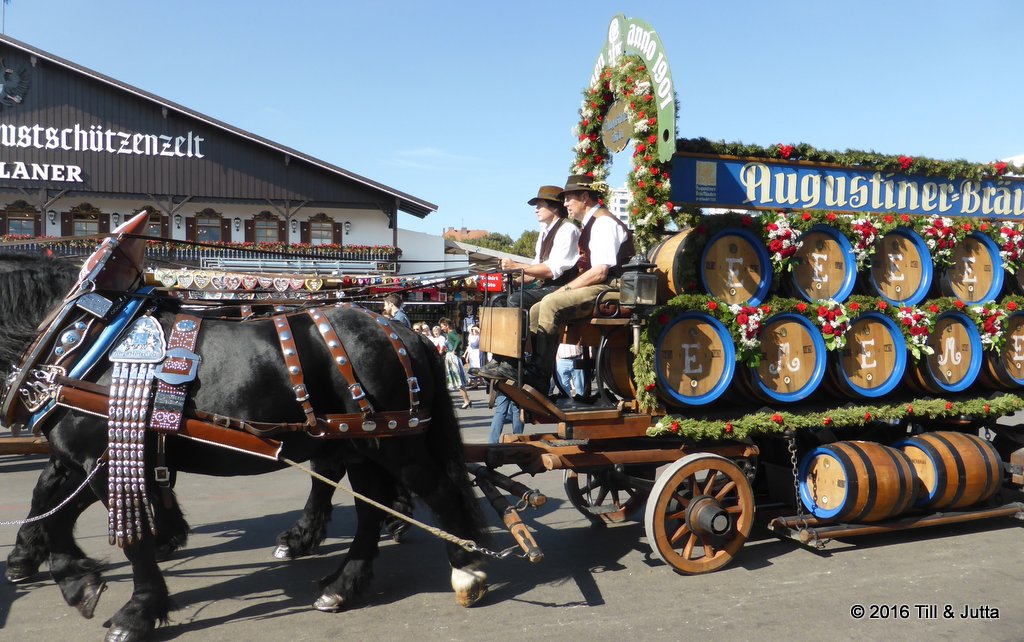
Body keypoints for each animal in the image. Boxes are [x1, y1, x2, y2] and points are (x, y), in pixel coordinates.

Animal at [0, 253, 487, 638]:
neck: (80, 340)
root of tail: (406, 333)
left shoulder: (106, 459)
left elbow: (125, 538)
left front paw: (137, 611)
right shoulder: (79, 458)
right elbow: (48, 506)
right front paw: (67, 575)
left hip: (391, 444)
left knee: (438, 491)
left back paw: (465, 568)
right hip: (360, 443)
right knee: (368, 507)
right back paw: (341, 584)